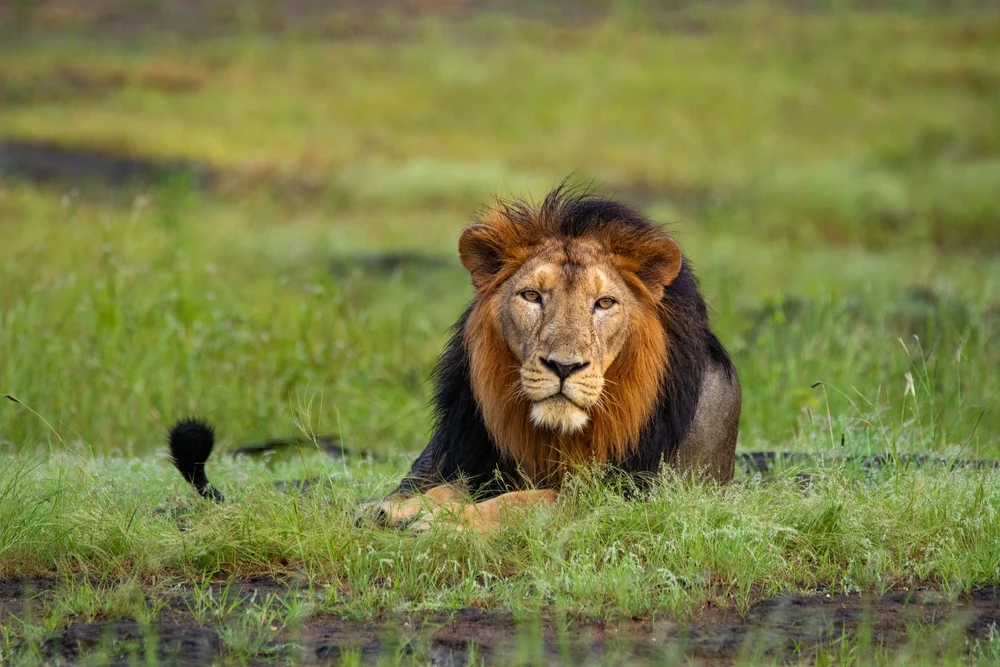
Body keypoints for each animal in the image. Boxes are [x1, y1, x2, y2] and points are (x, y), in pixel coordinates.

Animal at [168, 186, 741, 532]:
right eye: (532, 296)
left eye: (605, 303)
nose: (563, 367)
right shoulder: (462, 456)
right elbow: (443, 487)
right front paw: (392, 510)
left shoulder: (630, 495)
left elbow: (532, 500)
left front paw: (445, 525)